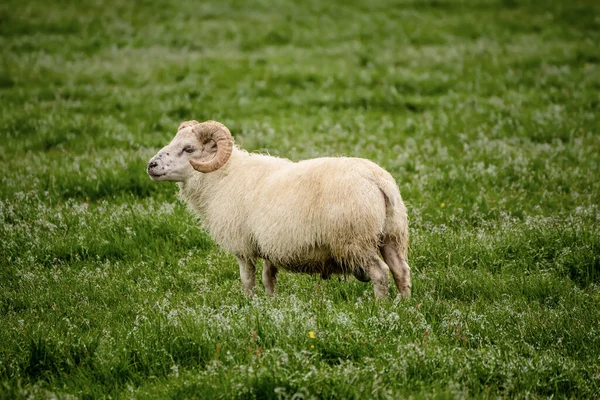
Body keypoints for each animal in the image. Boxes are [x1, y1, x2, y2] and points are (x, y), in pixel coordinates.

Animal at [147, 120, 410, 298]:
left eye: (189, 149)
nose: (151, 165)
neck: (222, 177)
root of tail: (377, 180)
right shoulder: (268, 246)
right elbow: (268, 278)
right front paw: (271, 304)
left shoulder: (242, 246)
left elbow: (248, 280)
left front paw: (249, 304)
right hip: (391, 235)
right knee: (401, 271)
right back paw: (402, 306)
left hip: (355, 240)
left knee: (380, 273)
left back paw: (380, 308)